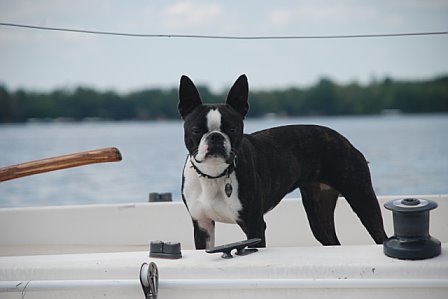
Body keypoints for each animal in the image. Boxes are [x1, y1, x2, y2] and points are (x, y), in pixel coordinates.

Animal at [178, 75, 384, 251]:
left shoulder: (254, 226)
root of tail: (345, 141)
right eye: (196, 130)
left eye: (232, 129)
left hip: (363, 200)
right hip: (319, 215)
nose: (215, 137)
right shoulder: (202, 226)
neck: (214, 175)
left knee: (381, 236)